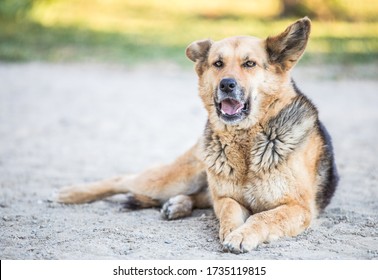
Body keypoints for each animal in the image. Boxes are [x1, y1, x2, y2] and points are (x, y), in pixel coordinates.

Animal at [59, 17, 340, 254]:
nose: (226, 84)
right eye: (218, 63)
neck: (247, 141)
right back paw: (72, 193)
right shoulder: (227, 197)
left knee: (198, 197)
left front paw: (242, 234)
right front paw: (231, 230)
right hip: (177, 177)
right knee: (124, 179)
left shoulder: (298, 208)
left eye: (250, 64)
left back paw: (177, 205)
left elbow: (264, 216)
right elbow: (228, 211)